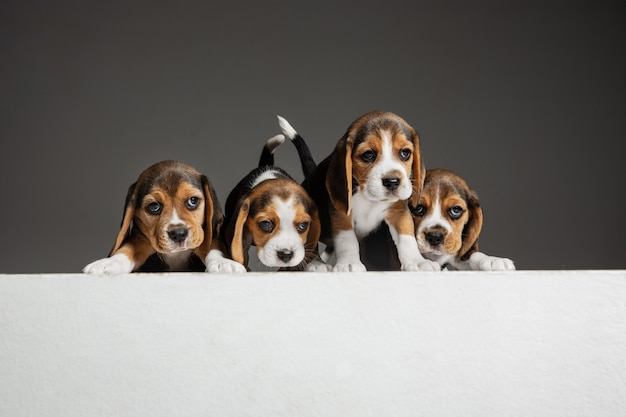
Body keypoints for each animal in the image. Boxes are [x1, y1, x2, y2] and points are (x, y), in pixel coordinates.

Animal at [83, 159, 239, 272]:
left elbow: (213, 246)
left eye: (193, 201)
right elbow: (126, 248)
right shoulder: (140, 239)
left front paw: (223, 263)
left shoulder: (206, 233)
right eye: (154, 206)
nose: (179, 234)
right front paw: (108, 263)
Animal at [280, 110, 436, 272]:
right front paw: (349, 263)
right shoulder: (342, 215)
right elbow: (347, 239)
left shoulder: (399, 212)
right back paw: (316, 264)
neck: (368, 196)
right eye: (368, 155)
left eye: (405, 153)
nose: (392, 182)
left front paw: (418, 262)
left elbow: (407, 237)